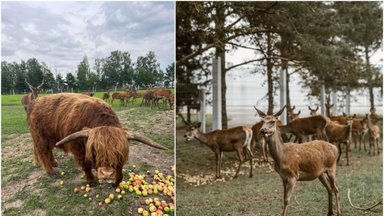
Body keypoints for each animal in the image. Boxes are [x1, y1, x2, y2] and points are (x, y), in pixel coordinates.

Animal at [27, 93, 165, 185]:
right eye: (94, 151)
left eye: (119, 153)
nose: (107, 174)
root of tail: (34, 102)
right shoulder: (78, 148)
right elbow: (86, 165)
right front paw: (91, 180)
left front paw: (118, 180)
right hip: (40, 137)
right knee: (43, 152)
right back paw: (50, 170)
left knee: (49, 150)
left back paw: (54, 162)